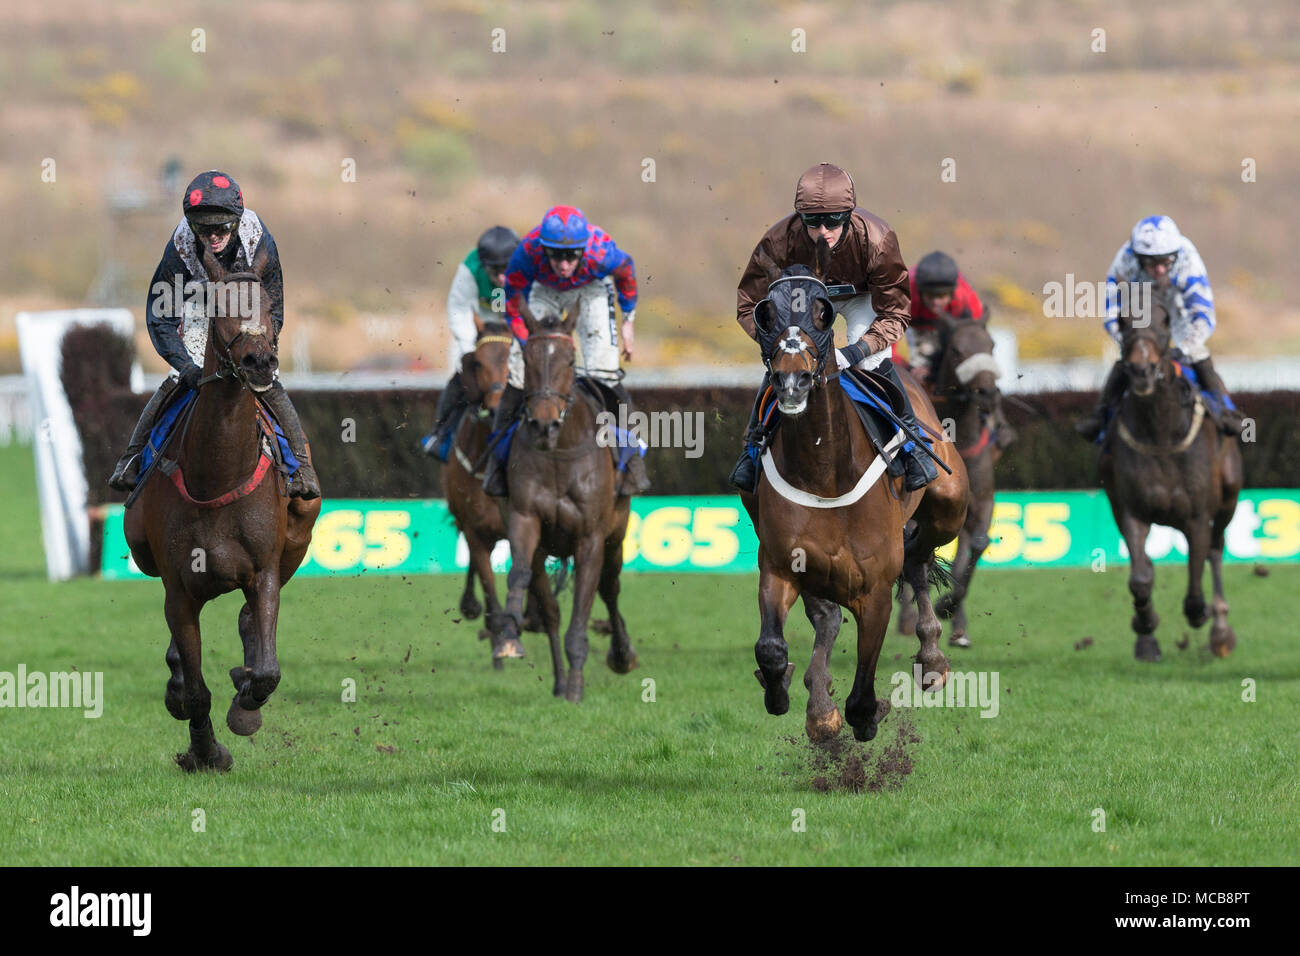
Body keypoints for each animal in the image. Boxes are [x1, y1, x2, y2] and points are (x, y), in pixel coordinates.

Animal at [122, 244, 321, 770]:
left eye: (267, 307)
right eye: (220, 307)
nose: (259, 361)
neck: (217, 476)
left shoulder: (264, 572)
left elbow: (268, 669)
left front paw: (245, 708)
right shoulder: (179, 588)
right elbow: (194, 688)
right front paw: (205, 751)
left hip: (296, 541)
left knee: (250, 624)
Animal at [488, 300, 637, 702]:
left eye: (570, 360)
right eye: (527, 357)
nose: (544, 424)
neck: (558, 452)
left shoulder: (591, 539)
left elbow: (585, 608)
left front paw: (577, 687)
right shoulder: (525, 519)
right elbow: (519, 574)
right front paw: (509, 636)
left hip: (616, 536)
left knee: (611, 588)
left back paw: (621, 655)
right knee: (551, 609)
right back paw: (557, 680)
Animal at [743, 244, 967, 738]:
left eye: (823, 313)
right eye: (767, 313)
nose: (792, 381)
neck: (825, 473)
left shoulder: (875, 588)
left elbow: (864, 692)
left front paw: (866, 712)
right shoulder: (782, 565)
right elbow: (772, 648)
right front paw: (785, 691)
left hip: (950, 501)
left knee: (919, 557)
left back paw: (932, 657)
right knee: (827, 619)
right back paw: (818, 702)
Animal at [904, 317, 1003, 647]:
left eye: (991, 345)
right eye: (958, 350)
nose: (987, 393)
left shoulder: (979, 503)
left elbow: (975, 547)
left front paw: (950, 610)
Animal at [1102, 310, 1242, 660]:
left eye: (1164, 325)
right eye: (1123, 323)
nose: (1142, 371)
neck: (1160, 434)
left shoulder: (1198, 517)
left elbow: (1195, 573)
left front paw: (1199, 614)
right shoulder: (1132, 510)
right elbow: (1140, 577)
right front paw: (1145, 627)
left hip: (1228, 500)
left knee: (1216, 550)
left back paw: (1220, 630)